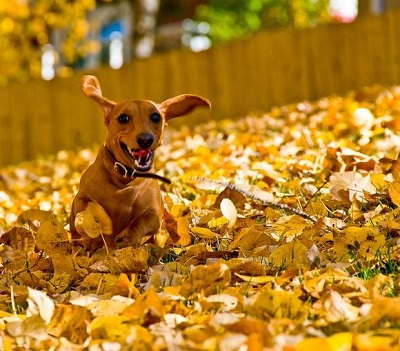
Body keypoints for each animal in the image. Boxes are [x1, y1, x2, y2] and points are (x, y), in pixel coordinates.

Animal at [70, 75, 211, 252]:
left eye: (156, 117)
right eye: (123, 118)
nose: (145, 139)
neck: (124, 179)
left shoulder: (154, 213)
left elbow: (140, 221)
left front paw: (127, 237)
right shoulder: (81, 198)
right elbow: (88, 208)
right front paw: (97, 227)